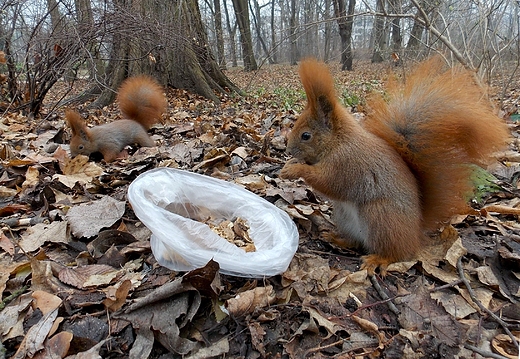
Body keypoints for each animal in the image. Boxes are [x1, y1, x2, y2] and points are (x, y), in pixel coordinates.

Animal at [282, 57, 510, 274]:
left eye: (306, 136)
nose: (288, 149)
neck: (338, 141)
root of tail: (415, 234)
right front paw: (289, 164)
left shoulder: (347, 164)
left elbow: (329, 182)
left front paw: (294, 169)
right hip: (344, 216)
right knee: (357, 242)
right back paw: (337, 238)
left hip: (381, 217)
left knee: (395, 253)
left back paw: (378, 259)